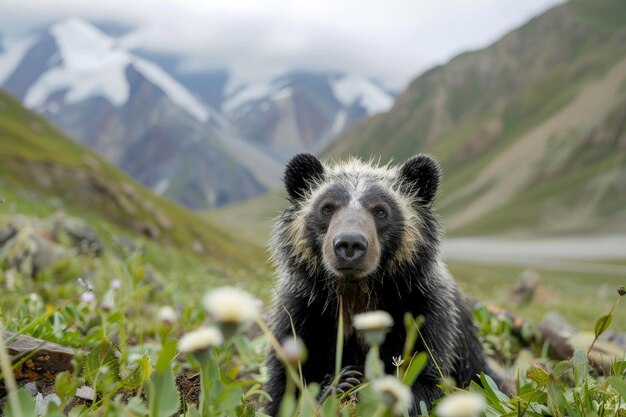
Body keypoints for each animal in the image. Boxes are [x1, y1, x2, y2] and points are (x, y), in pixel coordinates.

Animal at [260, 154, 490, 416]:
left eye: (381, 210)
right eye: (327, 207)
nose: (350, 244)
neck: (355, 291)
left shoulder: (427, 312)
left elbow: (428, 380)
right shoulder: (302, 315)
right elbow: (283, 387)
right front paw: (341, 382)